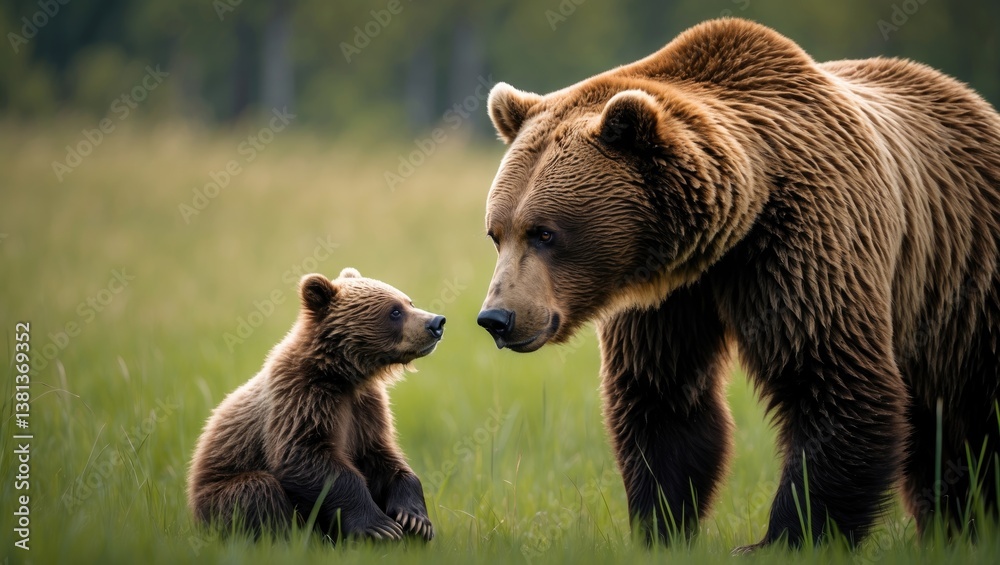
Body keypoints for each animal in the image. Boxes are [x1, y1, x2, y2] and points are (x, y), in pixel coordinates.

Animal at [188, 268, 444, 541]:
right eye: (394, 311)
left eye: (409, 303)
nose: (436, 322)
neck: (342, 375)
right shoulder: (302, 399)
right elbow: (307, 456)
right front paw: (379, 526)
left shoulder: (366, 408)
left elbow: (382, 456)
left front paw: (415, 520)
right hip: (216, 494)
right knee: (258, 491)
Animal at [476, 18, 1000, 550]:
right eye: (496, 233)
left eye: (544, 233)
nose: (497, 317)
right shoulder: (666, 298)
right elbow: (662, 398)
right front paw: (662, 526)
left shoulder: (806, 244)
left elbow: (830, 378)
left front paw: (786, 537)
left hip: (967, 278)